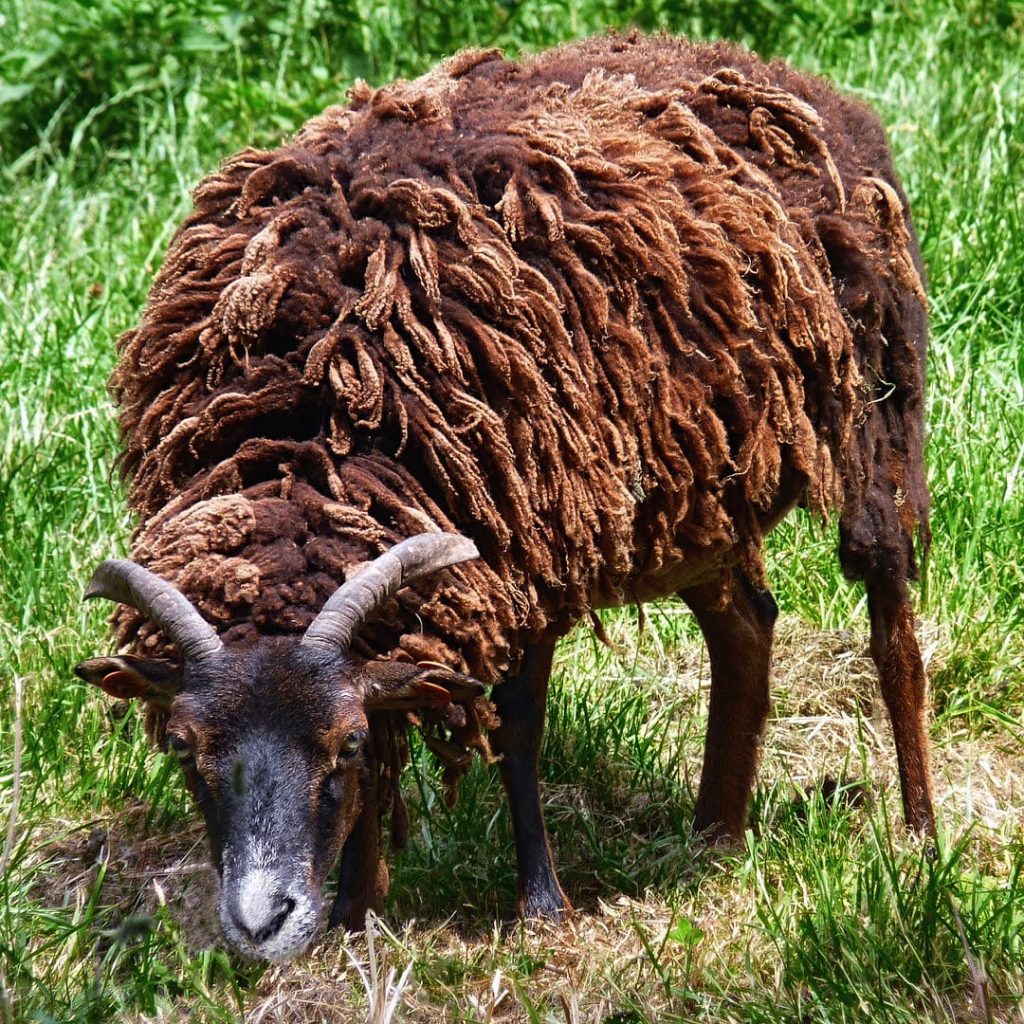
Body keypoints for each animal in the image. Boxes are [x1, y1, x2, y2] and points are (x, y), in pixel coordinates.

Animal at [75, 31, 933, 961]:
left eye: (340, 746)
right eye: (185, 748)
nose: (260, 921)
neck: (321, 428)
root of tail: (792, 79)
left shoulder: (530, 551)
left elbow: (514, 727)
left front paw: (540, 903)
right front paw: (355, 911)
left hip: (877, 416)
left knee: (891, 623)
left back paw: (920, 833)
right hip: (698, 494)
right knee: (747, 623)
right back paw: (716, 834)